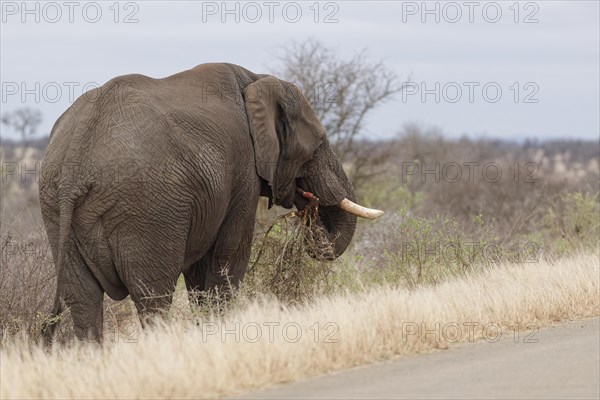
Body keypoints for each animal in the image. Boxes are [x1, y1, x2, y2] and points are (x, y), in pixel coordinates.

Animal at [39, 62, 382, 340]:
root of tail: (76, 156)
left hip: (56, 208)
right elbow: (230, 254)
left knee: (83, 300)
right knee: (153, 298)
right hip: (144, 211)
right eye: (318, 146)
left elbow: (198, 271)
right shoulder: (242, 171)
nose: (311, 211)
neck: (255, 79)